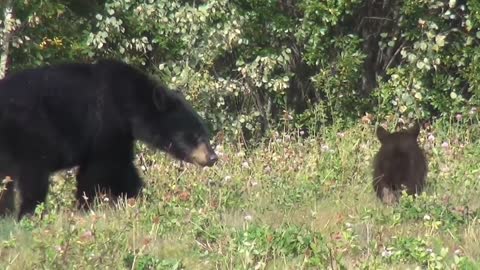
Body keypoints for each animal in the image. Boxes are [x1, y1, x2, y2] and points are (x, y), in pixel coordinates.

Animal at [0, 59, 218, 219]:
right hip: (31, 136)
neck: (129, 104)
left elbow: (123, 168)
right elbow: (102, 169)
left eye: (205, 133)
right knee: (33, 179)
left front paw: (138, 198)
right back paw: (28, 215)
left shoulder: (121, 134)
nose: (213, 157)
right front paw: (85, 206)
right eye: (196, 135)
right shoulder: (107, 123)